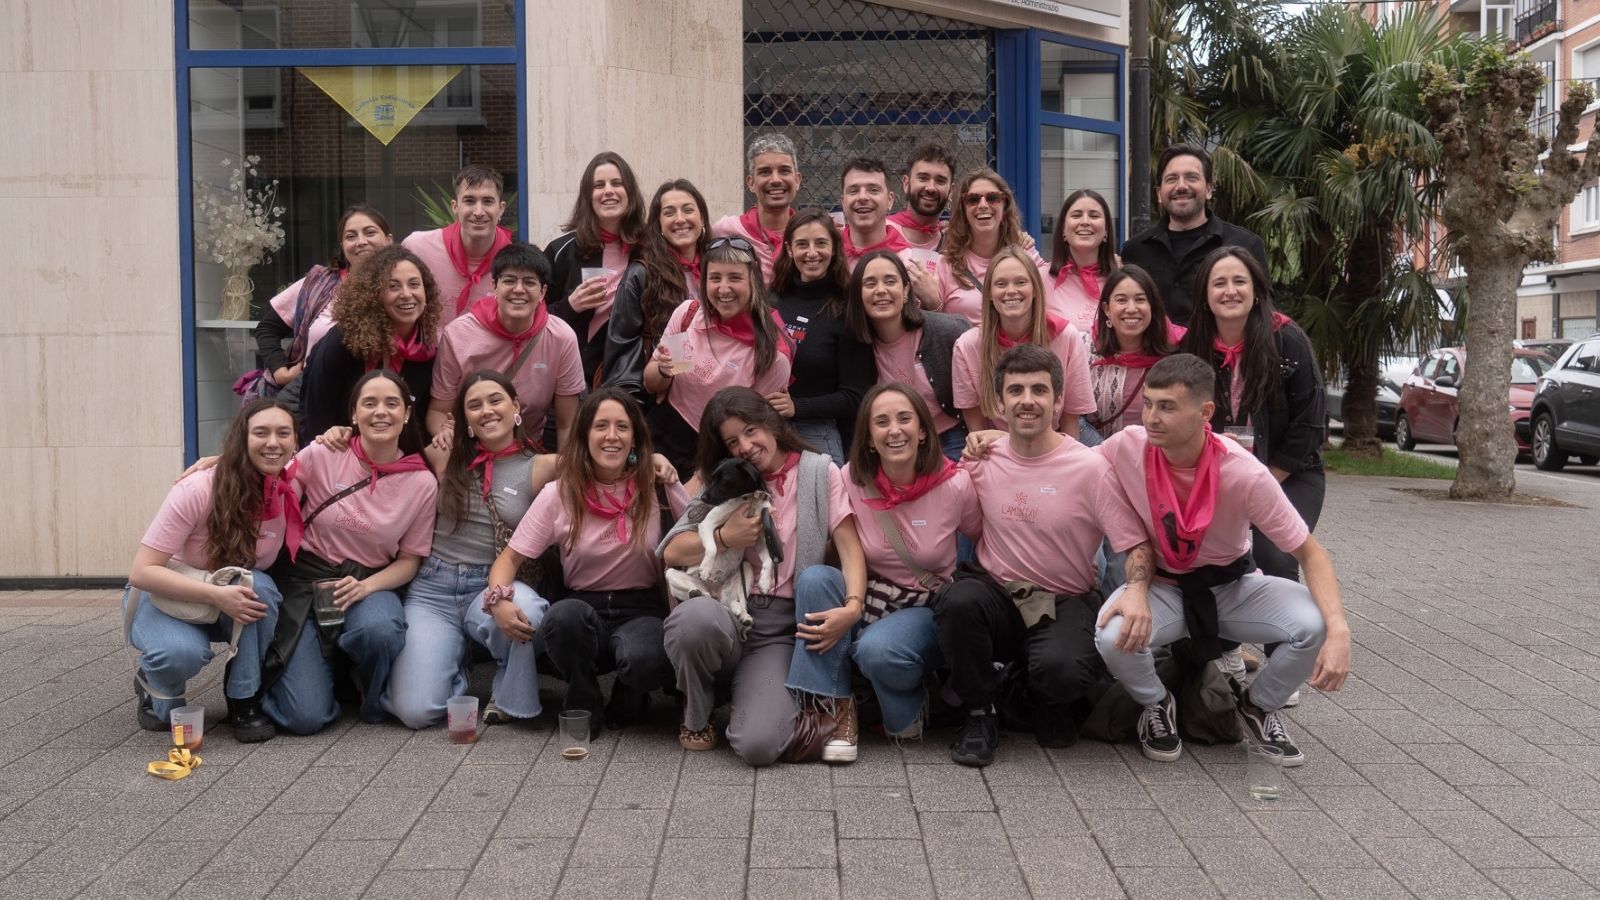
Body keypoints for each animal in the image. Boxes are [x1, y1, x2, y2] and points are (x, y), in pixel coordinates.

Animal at [665, 458, 785, 637]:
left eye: (725, 481)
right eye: (713, 478)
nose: (703, 497)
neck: (747, 499)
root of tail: (717, 591)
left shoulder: (760, 537)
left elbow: (769, 560)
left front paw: (765, 582)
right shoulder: (707, 523)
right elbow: (713, 548)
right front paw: (705, 569)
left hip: (746, 569)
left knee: (734, 602)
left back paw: (743, 614)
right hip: (672, 574)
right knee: (705, 596)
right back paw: (697, 592)